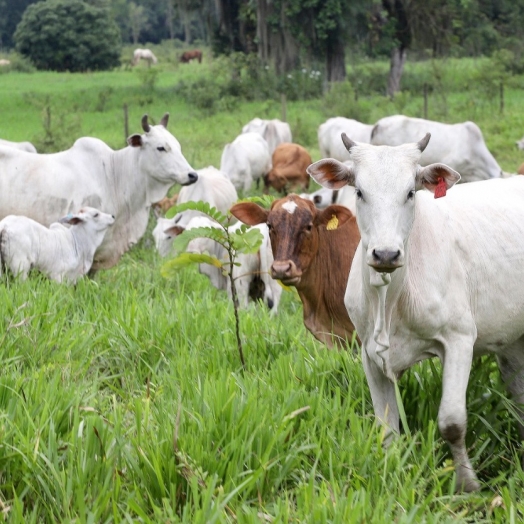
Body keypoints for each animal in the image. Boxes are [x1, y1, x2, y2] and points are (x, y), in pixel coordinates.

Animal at [308, 133, 524, 494]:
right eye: (359, 191)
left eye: (410, 192)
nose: (385, 253)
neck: (391, 301)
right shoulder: (369, 352)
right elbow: (387, 427)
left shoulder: (459, 340)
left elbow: (452, 422)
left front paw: (468, 485)